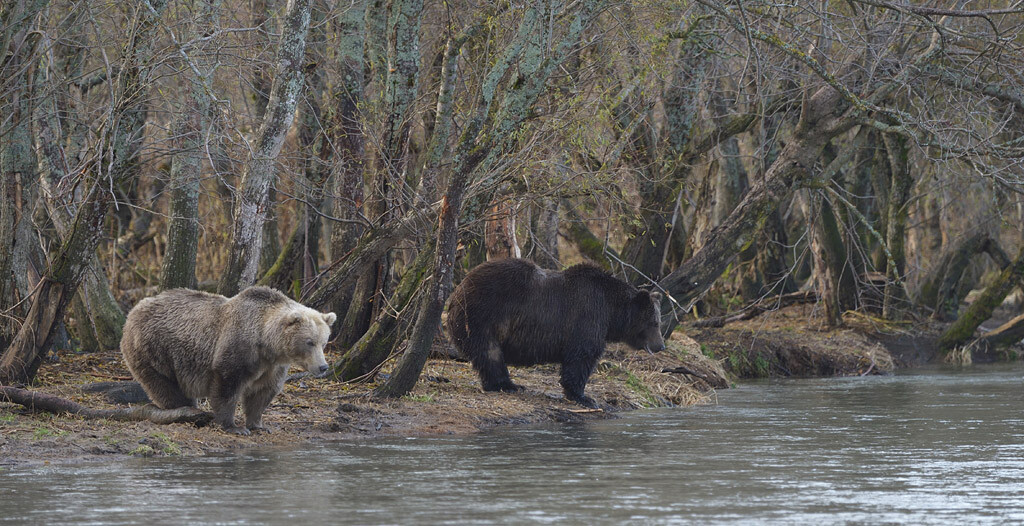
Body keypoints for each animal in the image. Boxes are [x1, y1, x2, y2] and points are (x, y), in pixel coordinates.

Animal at [120, 284, 335, 431]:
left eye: (323, 342)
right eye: (309, 342)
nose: (323, 367)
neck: (265, 342)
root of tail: (133, 311)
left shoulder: (271, 366)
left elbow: (262, 392)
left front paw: (258, 424)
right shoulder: (239, 346)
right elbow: (227, 385)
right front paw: (233, 426)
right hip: (154, 349)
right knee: (164, 385)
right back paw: (184, 410)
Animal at [446, 256, 667, 405]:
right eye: (655, 322)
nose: (661, 346)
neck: (612, 312)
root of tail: (459, 288)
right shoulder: (587, 316)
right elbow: (582, 356)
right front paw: (583, 397)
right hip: (484, 314)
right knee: (490, 352)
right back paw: (507, 385)